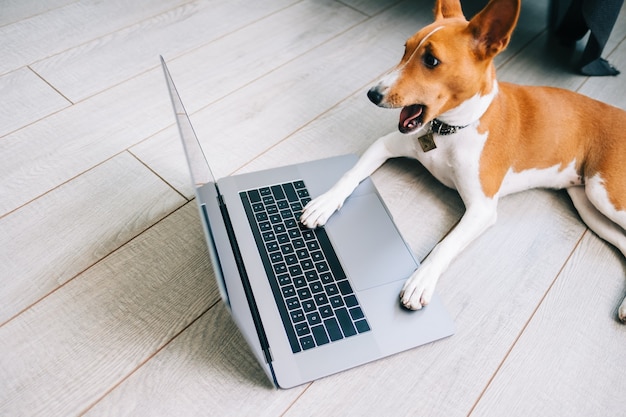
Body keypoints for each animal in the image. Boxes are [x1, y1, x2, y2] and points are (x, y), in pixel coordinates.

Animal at [298, 0, 624, 322]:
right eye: (405, 49)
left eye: (431, 61)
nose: (372, 94)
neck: (450, 131)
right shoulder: (385, 145)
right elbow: (350, 174)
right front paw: (324, 203)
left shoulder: (481, 209)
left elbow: (446, 244)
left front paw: (421, 279)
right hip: (588, 204)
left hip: (604, 195)